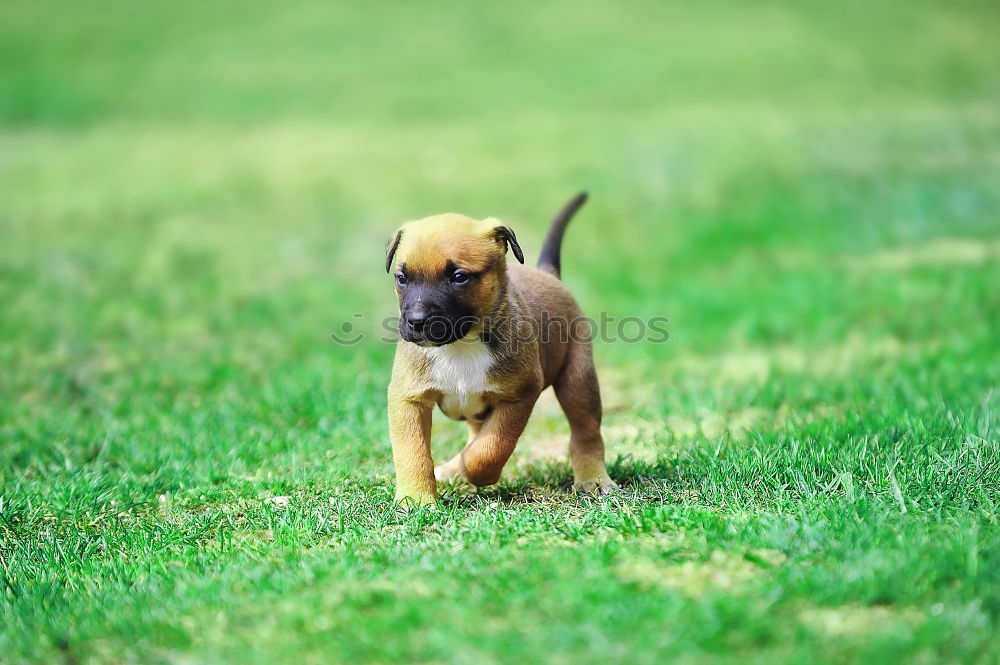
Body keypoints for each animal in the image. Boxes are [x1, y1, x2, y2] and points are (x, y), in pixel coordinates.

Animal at [384, 192, 612, 504]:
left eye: (459, 277)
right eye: (402, 278)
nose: (416, 321)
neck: (461, 345)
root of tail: (548, 275)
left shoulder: (517, 397)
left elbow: (491, 448)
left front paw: (476, 472)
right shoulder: (409, 401)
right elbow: (413, 453)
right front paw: (416, 499)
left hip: (578, 380)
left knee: (586, 431)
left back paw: (594, 478)